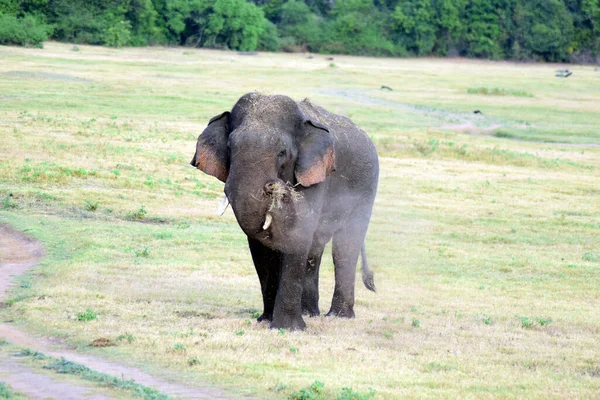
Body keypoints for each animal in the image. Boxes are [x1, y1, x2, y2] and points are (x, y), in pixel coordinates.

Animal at [191, 94, 380, 332]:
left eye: (282, 153)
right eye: (229, 147)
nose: (273, 186)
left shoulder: (315, 177)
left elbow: (298, 234)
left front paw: (288, 329)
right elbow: (260, 245)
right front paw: (265, 320)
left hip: (366, 188)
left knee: (345, 246)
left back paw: (339, 316)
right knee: (316, 249)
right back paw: (310, 313)